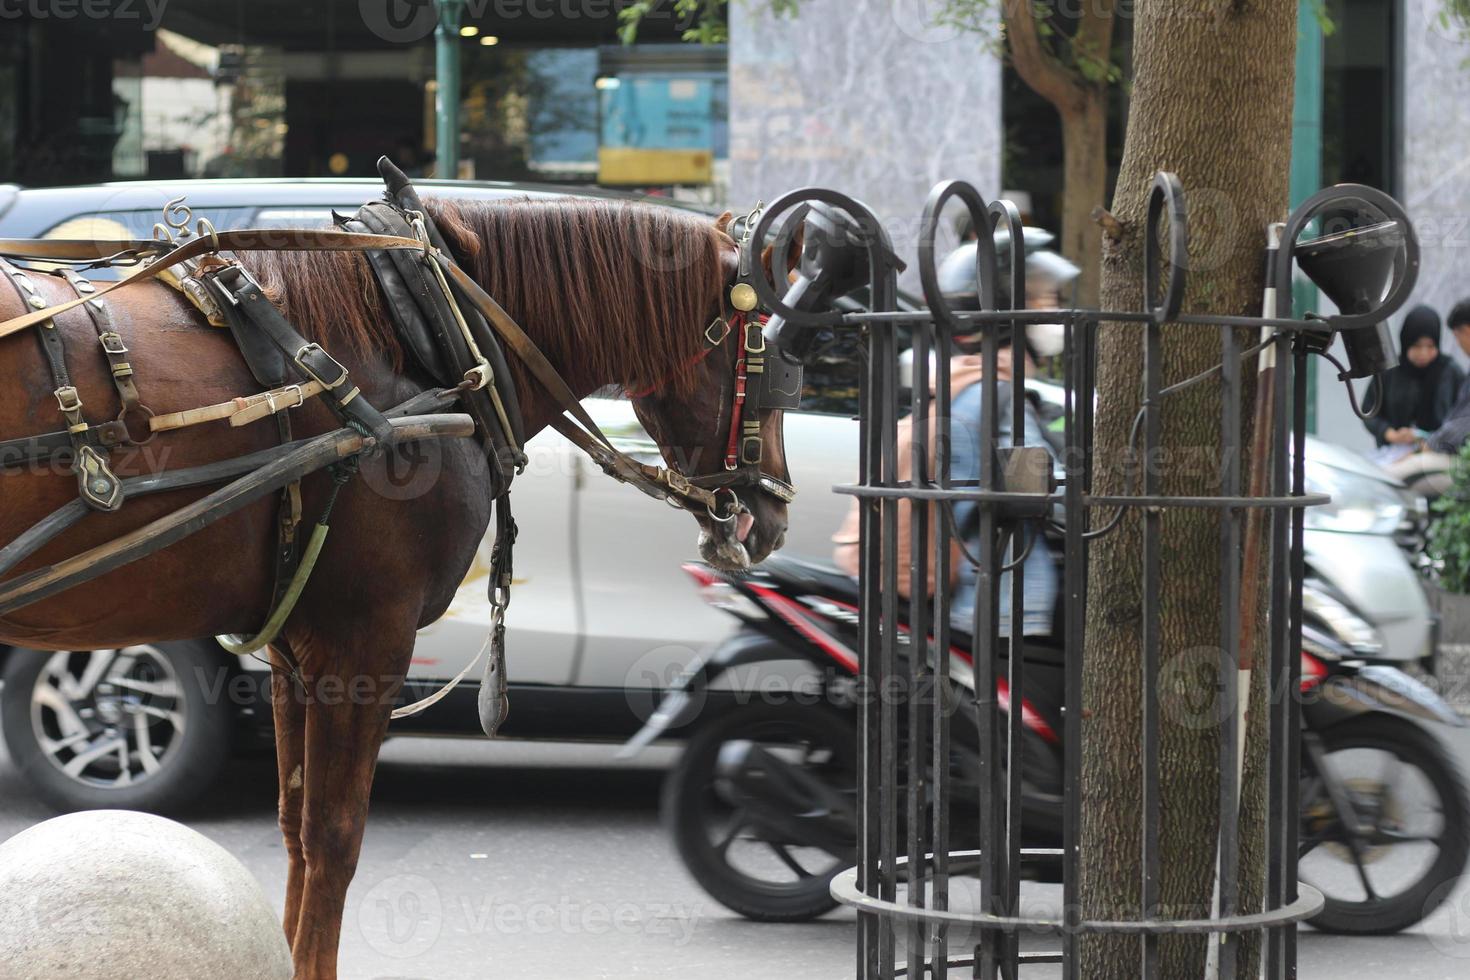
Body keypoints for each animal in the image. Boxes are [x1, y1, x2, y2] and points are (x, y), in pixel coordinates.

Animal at [0, 195, 793, 975]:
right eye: (777, 356)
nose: (773, 517)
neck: (435, 340)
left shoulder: (296, 649)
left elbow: (294, 829)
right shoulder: (365, 641)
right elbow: (334, 839)